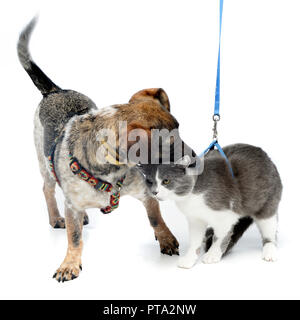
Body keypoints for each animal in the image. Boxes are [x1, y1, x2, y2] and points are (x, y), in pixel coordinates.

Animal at [18, 18, 179, 282]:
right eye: (167, 145)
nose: (194, 157)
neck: (110, 172)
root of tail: (55, 90)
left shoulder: (144, 193)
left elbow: (155, 218)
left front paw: (166, 239)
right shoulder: (72, 205)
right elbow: (74, 238)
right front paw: (69, 264)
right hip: (43, 162)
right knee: (48, 189)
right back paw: (56, 217)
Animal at [137, 144, 282, 268]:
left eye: (166, 181)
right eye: (149, 181)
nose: (154, 192)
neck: (191, 197)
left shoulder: (225, 215)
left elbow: (221, 236)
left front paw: (212, 254)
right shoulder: (195, 219)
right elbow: (194, 240)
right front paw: (189, 259)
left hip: (267, 204)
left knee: (269, 231)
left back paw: (269, 252)